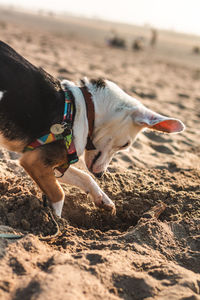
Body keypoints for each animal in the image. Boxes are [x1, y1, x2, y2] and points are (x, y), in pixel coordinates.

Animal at [0, 41, 184, 217]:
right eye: (125, 145)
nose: (101, 175)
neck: (83, 109)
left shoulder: (48, 161)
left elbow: (85, 177)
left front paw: (103, 199)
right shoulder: (36, 161)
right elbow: (59, 195)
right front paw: (55, 222)